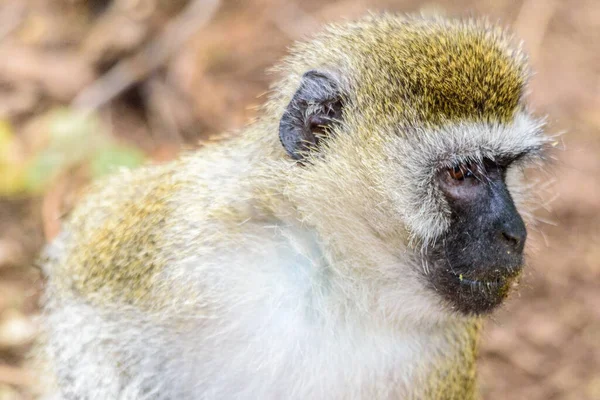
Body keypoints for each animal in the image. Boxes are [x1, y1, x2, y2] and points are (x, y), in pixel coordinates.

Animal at [37, 12, 548, 400]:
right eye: (462, 174)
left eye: (503, 170)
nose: (514, 233)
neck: (338, 285)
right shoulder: (190, 227)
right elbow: (79, 290)